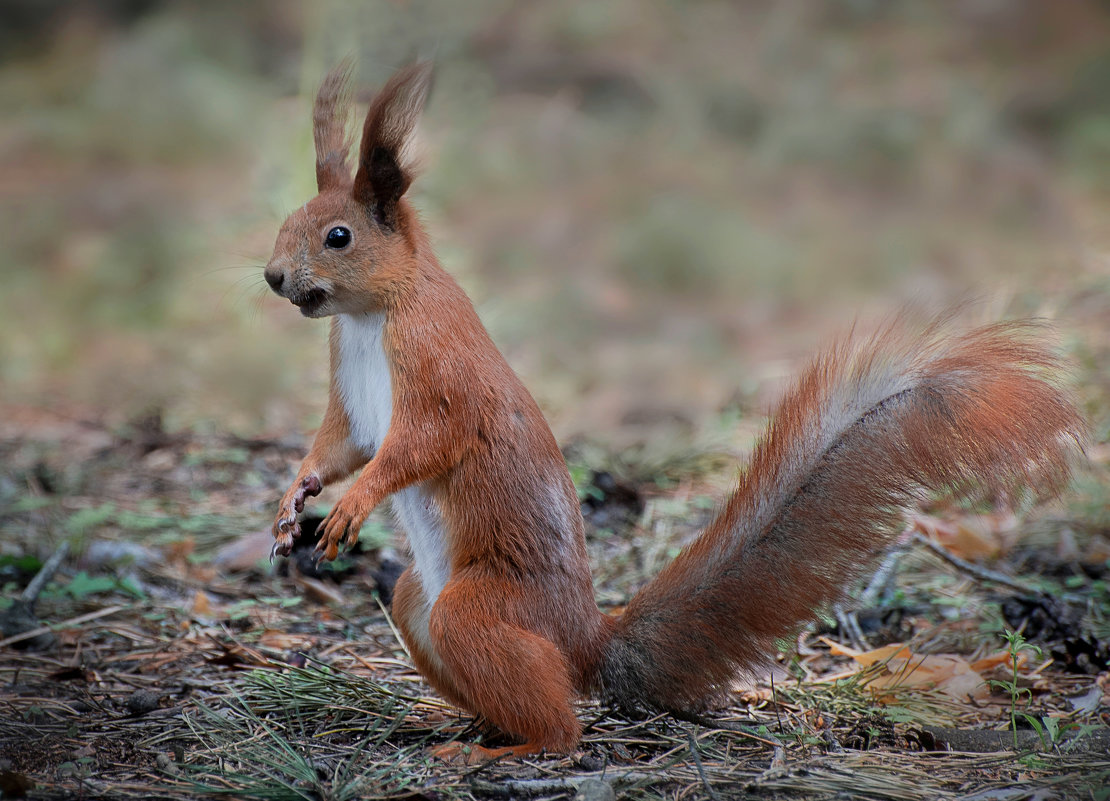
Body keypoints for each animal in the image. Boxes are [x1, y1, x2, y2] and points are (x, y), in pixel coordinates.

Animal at [261, 64, 1083, 763]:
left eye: (338, 236)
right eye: (290, 219)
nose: (272, 277)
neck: (374, 315)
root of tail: (584, 640)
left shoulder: (440, 374)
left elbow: (419, 445)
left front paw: (356, 501)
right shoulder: (348, 393)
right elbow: (340, 444)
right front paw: (297, 495)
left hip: (478, 609)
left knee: (561, 725)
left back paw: (504, 748)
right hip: (415, 605)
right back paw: (460, 723)